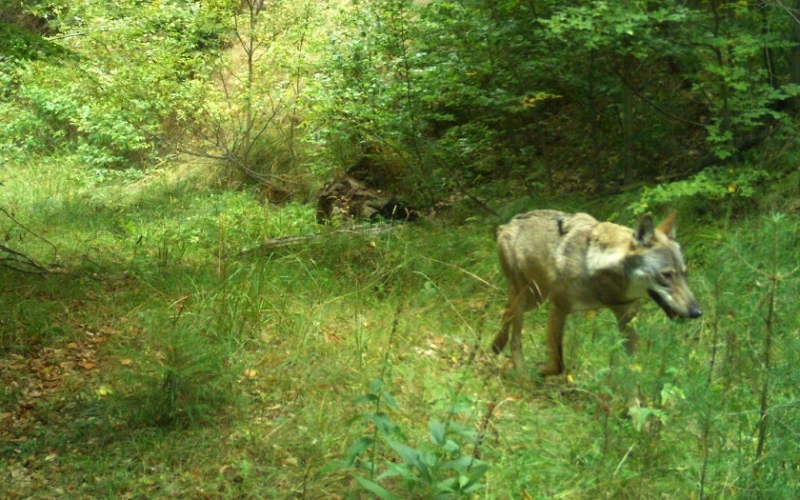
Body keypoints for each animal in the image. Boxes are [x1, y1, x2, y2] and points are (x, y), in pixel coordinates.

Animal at [490, 209, 704, 376]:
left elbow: (631, 372)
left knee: (505, 311)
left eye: (684, 274)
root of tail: (507, 224)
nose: (696, 312)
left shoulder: (625, 320)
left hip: (534, 299)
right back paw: (522, 376)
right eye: (666, 275)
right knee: (515, 339)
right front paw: (540, 370)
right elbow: (558, 364)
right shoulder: (557, 308)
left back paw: (496, 346)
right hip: (526, 298)